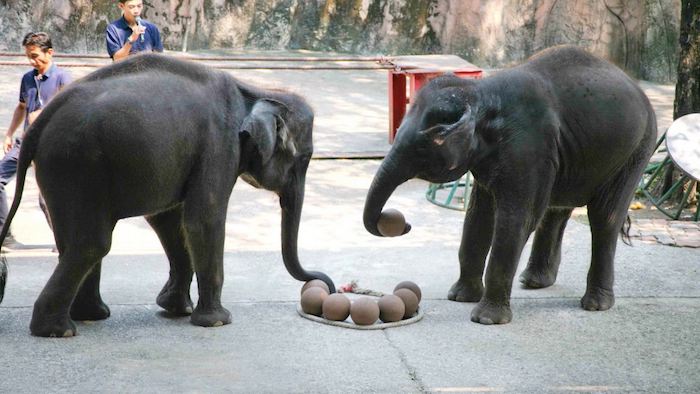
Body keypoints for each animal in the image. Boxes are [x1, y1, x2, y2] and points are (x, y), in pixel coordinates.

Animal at [0, 52, 334, 338]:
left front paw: (177, 310)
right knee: (92, 243)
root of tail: (39, 123)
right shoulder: (219, 145)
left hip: (62, 171)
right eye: (305, 158)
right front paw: (217, 321)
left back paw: (89, 316)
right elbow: (203, 220)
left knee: (72, 240)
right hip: (77, 164)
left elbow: (167, 221)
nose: (326, 285)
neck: (255, 90)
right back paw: (59, 330)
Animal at [366, 45, 656, 324]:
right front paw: (460, 298)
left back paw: (595, 304)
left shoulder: (529, 147)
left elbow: (517, 219)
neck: (482, 93)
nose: (402, 224)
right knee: (556, 209)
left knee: (604, 218)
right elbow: (478, 217)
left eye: (422, 147)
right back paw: (534, 282)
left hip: (636, 152)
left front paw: (486, 319)